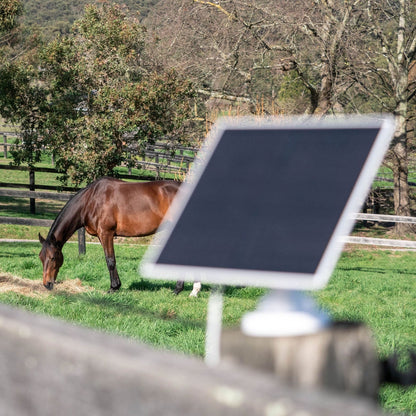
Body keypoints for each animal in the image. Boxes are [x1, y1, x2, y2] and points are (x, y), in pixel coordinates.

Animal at [39, 177, 180, 290]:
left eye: (53, 257)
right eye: (41, 257)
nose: (47, 284)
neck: (90, 200)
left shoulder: (106, 233)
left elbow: (110, 260)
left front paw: (113, 287)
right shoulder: (101, 236)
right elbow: (109, 259)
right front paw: (116, 286)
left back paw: (178, 289)